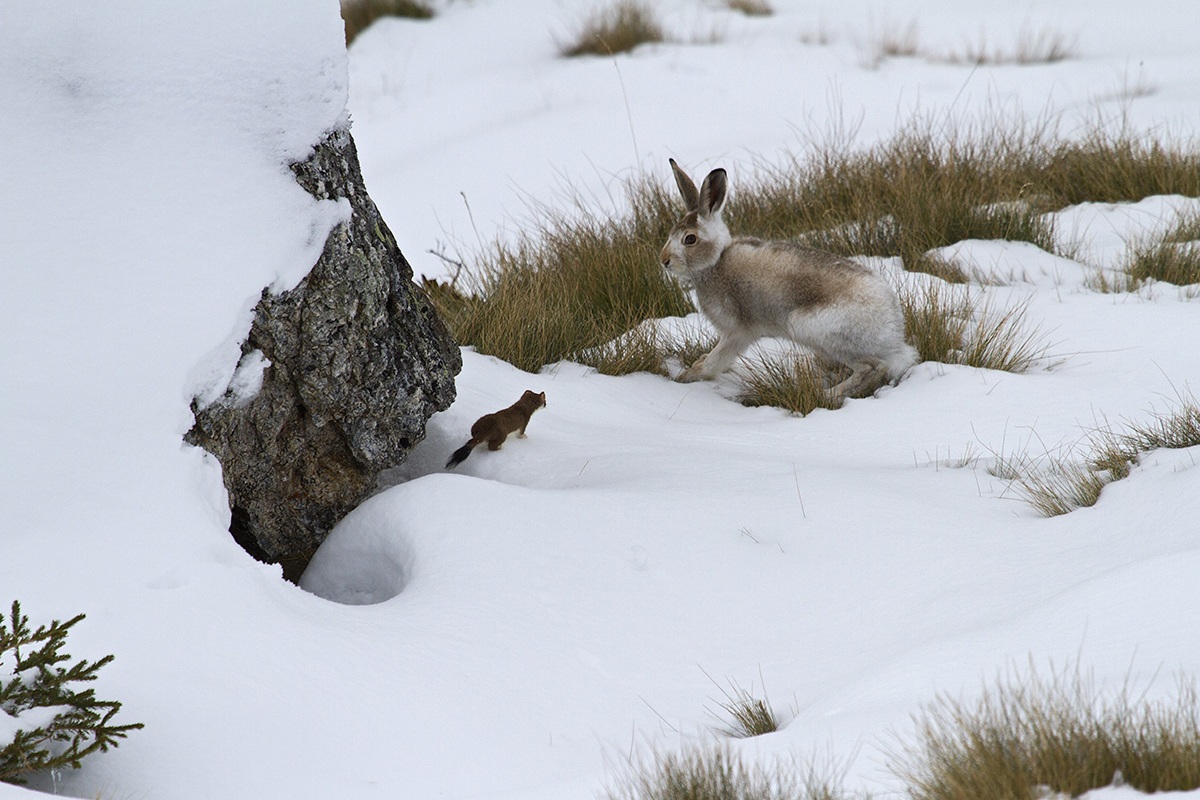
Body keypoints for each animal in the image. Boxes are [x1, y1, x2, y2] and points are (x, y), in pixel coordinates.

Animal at [660, 159, 917, 398]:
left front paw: (687, 376)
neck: (715, 262)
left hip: (813, 328)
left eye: (689, 239)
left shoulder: (738, 332)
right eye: (671, 233)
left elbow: (715, 362)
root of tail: (894, 332)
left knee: (872, 367)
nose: (664, 260)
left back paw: (827, 395)